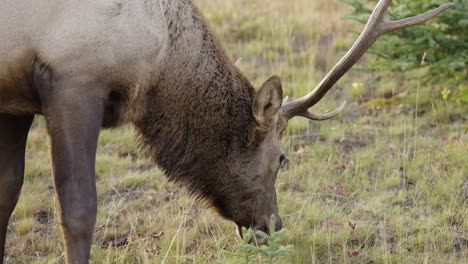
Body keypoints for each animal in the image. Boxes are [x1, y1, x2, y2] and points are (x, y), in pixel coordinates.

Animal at [0, 0, 454, 262]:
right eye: (282, 158)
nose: (273, 227)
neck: (158, 59)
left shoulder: (14, 99)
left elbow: (8, 192)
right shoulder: (75, 79)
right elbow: (78, 210)